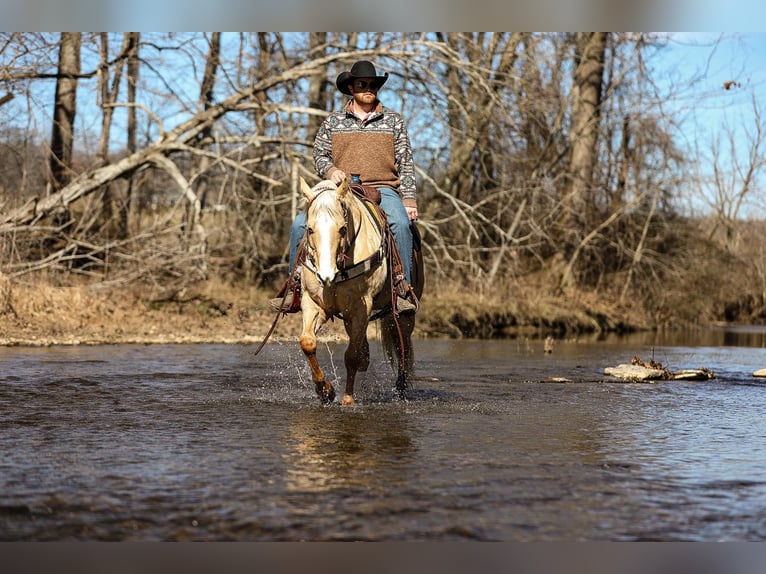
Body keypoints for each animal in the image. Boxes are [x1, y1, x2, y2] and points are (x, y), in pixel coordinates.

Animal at [298, 178, 426, 408]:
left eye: (342, 229)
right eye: (310, 229)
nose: (325, 275)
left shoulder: (361, 306)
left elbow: (351, 356)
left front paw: (348, 398)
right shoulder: (313, 303)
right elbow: (308, 342)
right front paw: (325, 391)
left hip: (403, 315)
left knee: (402, 346)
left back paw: (400, 390)